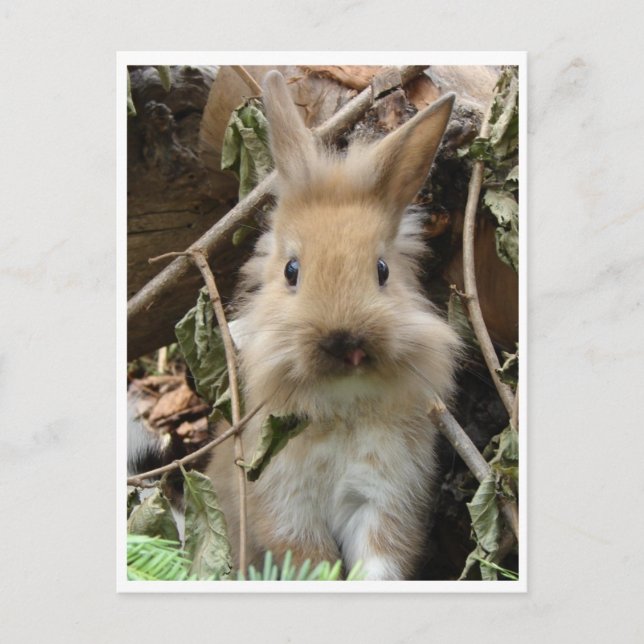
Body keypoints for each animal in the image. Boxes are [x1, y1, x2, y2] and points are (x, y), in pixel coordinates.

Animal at [206, 70, 460, 580]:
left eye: (382, 270)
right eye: (291, 271)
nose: (347, 345)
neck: (342, 403)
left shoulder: (386, 503)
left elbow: (379, 562)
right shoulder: (288, 512)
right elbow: (312, 565)